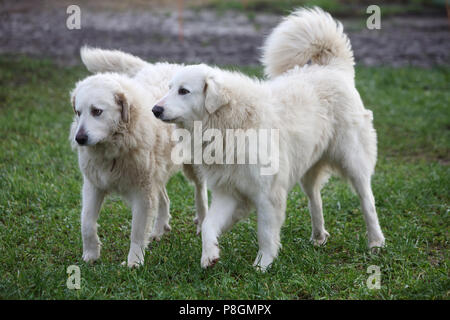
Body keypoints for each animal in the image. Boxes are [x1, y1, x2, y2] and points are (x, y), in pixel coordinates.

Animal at [71, 48, 209, 268]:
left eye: (97, 111)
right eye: (78, 112)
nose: (80, 138)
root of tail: (166, 65)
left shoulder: (142, 192)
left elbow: (136, 231)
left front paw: (133, 262)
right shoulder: (94, 185)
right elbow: (86, 223)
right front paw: (91, 255)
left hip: (191, 165)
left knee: (200, 191)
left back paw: (202, 222)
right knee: (164, 199)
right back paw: (159, 229)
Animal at [153, 7, 384, 270]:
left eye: (183, 91)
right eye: (169, 88)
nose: (155, 110)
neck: (231, 123)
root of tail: (332, 68)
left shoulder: (267, 194)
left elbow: (264, 233)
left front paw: (262, 265)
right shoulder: (228, 191)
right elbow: (209, 224)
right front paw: (209, 255)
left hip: (353, 161)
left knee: (367, 201)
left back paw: (376, 243)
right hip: (307, 167)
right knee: (315, 199)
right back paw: (318, 237)